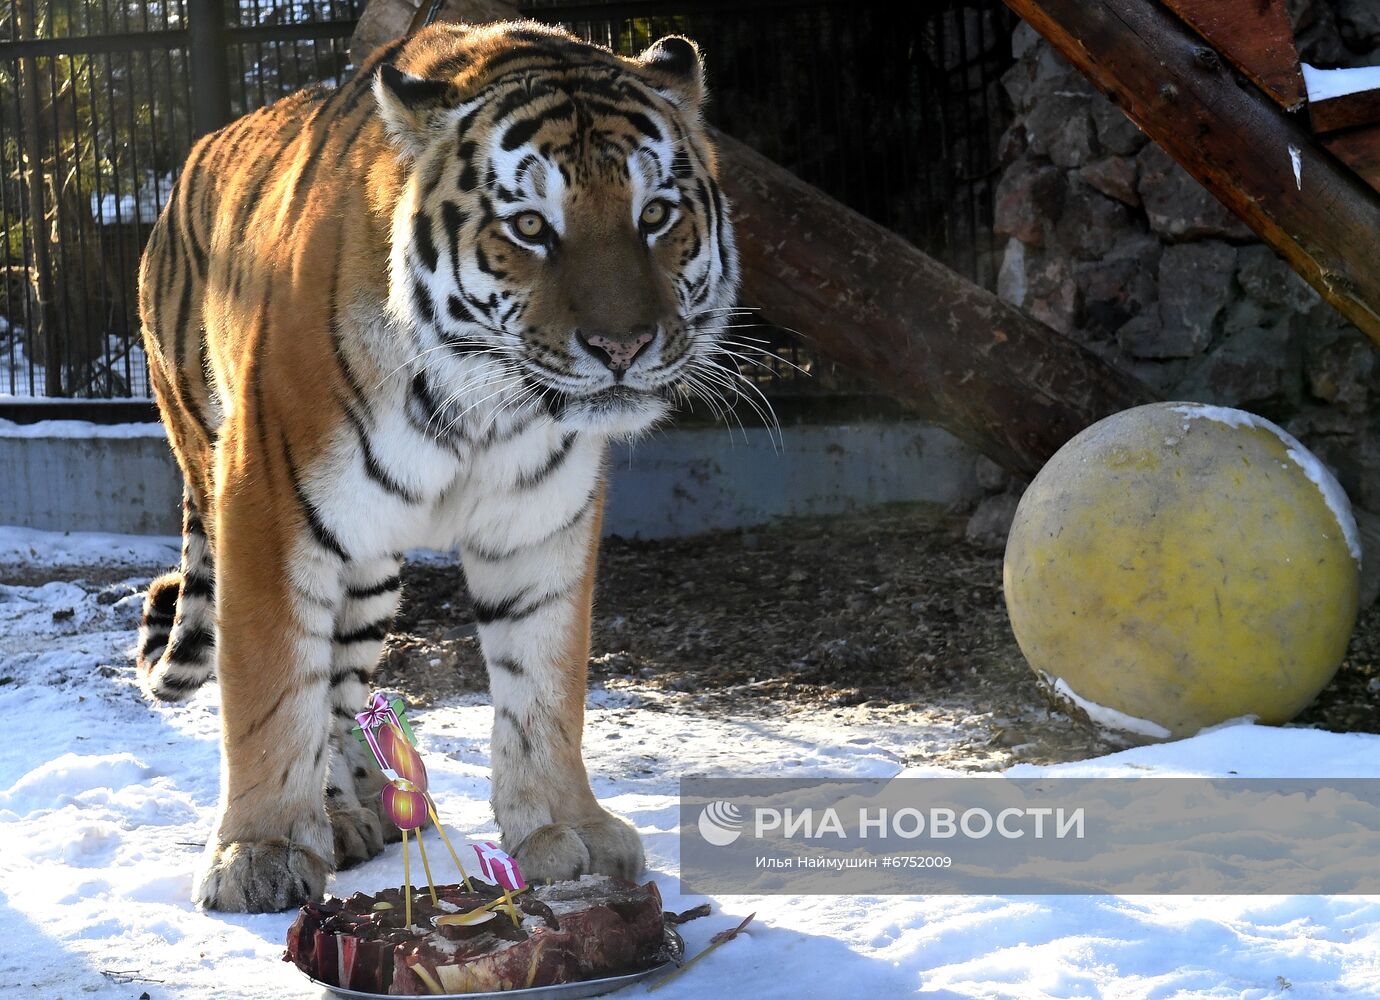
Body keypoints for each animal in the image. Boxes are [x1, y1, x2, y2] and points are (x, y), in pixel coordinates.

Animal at [134, 21, 739, 910]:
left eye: (656, 215)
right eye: (531, 228)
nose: (622, 347)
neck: (481, 406)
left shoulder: (539, 521)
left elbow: (543, 682)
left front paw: (566, 830)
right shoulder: (267, 507)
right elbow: (273, 691)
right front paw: (261, 852)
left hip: (369, 565)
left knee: (345, 685)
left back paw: (357, 807)